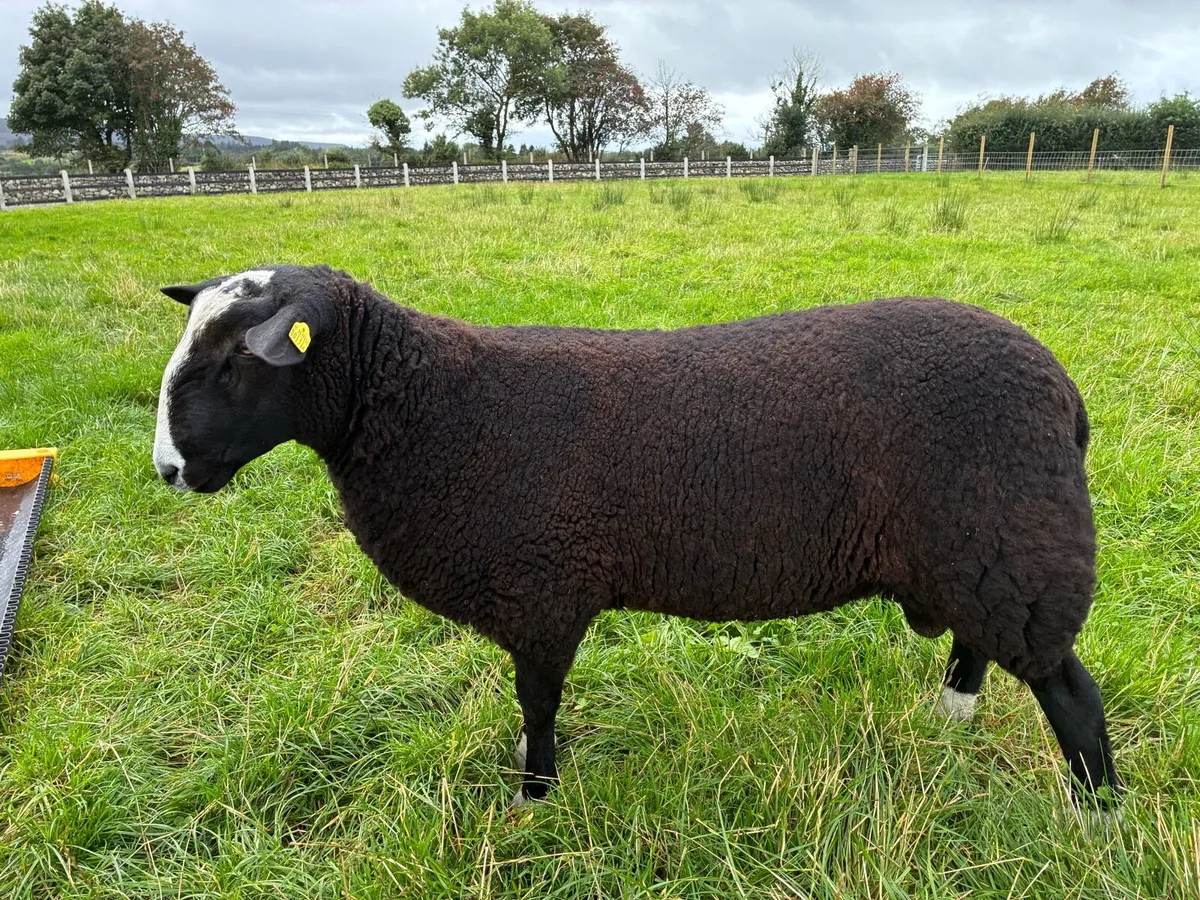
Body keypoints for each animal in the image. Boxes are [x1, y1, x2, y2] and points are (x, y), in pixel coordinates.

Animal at [152, 263, 1120, 809]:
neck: (423, 405)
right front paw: (533, 786)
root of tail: (1065, 393)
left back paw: (1096, 815)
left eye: (237, 360)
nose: (167, 469)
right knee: (978, 643)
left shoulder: (542, 589)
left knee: (1071, 693)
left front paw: (534, 800)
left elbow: (537, 704)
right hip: (976, 548)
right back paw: (951, 721)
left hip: (1016, 542)